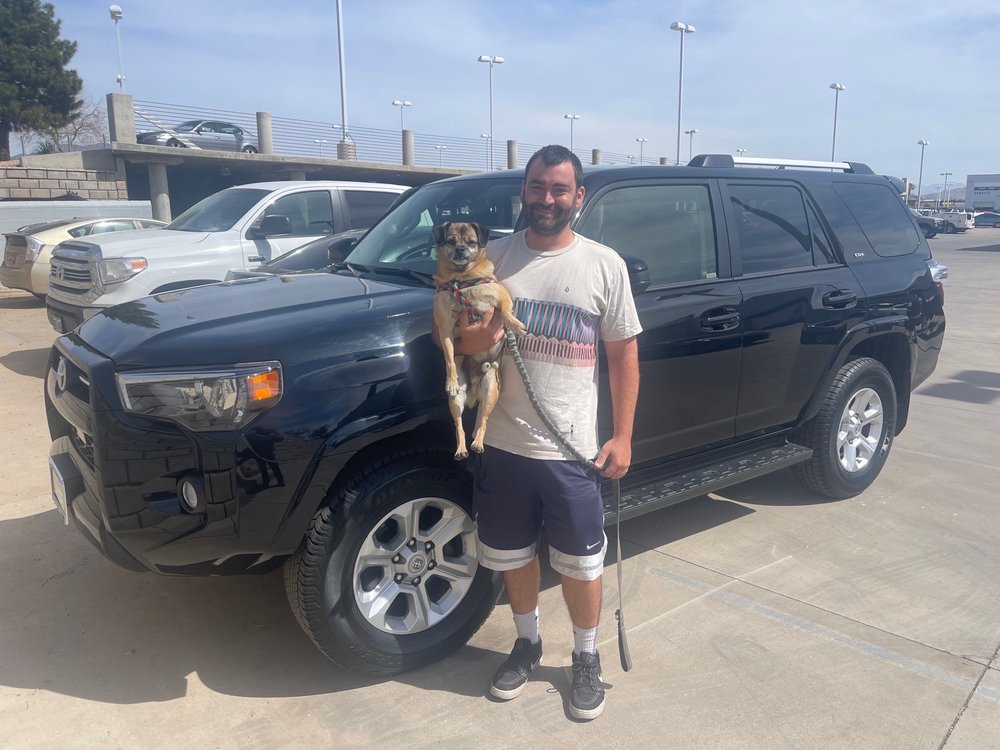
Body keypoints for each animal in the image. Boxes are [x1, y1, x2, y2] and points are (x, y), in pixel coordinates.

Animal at [432, 221, 525, 460]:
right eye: (451, 241)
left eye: (472, 242)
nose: (460, 249)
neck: (462, 281)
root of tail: (474, 394)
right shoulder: (445, 328)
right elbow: (449, 358)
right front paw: (450, 381)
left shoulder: (501, 294)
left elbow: (505, 311)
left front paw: (515, 325)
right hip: (456, 402)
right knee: (459, 427)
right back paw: (462, 449)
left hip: (491, 387)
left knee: (483, 420)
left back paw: (478, 443)